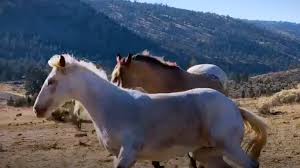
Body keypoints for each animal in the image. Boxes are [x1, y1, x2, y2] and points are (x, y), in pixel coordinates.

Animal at [33, 54, 268, 167]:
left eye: (51, 81)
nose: (37, 109)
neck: (111, 105)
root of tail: (234, 107)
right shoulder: (118, 155)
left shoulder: (128, 153)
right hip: (207, 154)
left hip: (230, 147)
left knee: (252, 164)